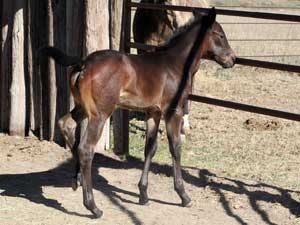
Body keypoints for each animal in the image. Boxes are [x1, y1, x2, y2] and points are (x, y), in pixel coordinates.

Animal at [39, 8, 234, 218]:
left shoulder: (153, 113)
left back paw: (77, 180)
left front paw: (143, 194)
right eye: (220, 35)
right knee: (85, 148)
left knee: (65, 124)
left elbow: (150, 148)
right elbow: (175, 147)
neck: (175, 65)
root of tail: (84, 63)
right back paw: (93, 207)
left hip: (82, 107)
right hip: (100, 114)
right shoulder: (173, 112)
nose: (232, 59)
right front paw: (184, 196)